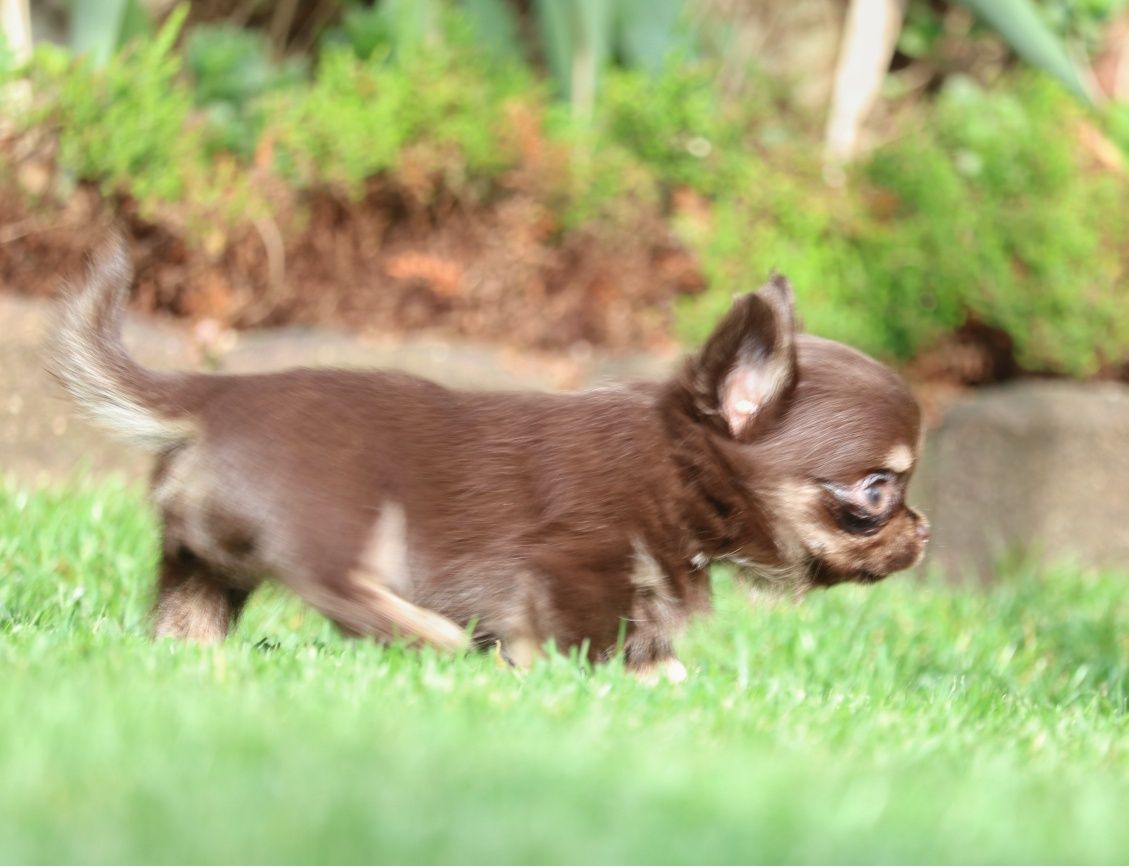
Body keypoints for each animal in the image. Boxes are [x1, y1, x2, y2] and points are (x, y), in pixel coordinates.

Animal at [50, 240, 925, 681]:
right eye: (876, 491)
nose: (922, 531)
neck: (675, 464)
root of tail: (215, 396)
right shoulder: (572, 565)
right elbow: (588, 640)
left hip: (203, 557)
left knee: (188, 613)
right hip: (344, 519)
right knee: (340, 586)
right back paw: (431, 636)